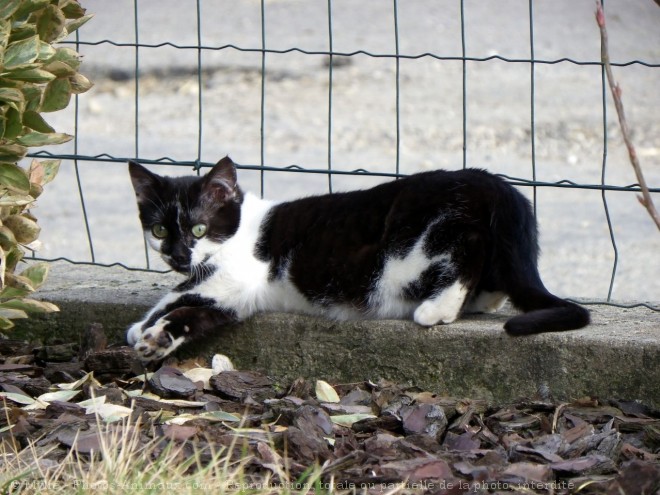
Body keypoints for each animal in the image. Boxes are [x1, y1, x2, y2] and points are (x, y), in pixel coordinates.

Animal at [126, 157, 592, 362]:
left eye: (199, 229)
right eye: (160, 230)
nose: (177, 254)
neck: (241, 230)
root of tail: (492, 182)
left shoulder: (240, 275)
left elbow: (180, 294)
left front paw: (148, 327)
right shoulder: (235, 296)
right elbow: (190, 305)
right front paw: (152, 333)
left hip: (415, 243)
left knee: (469, 249)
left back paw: (438, 308)